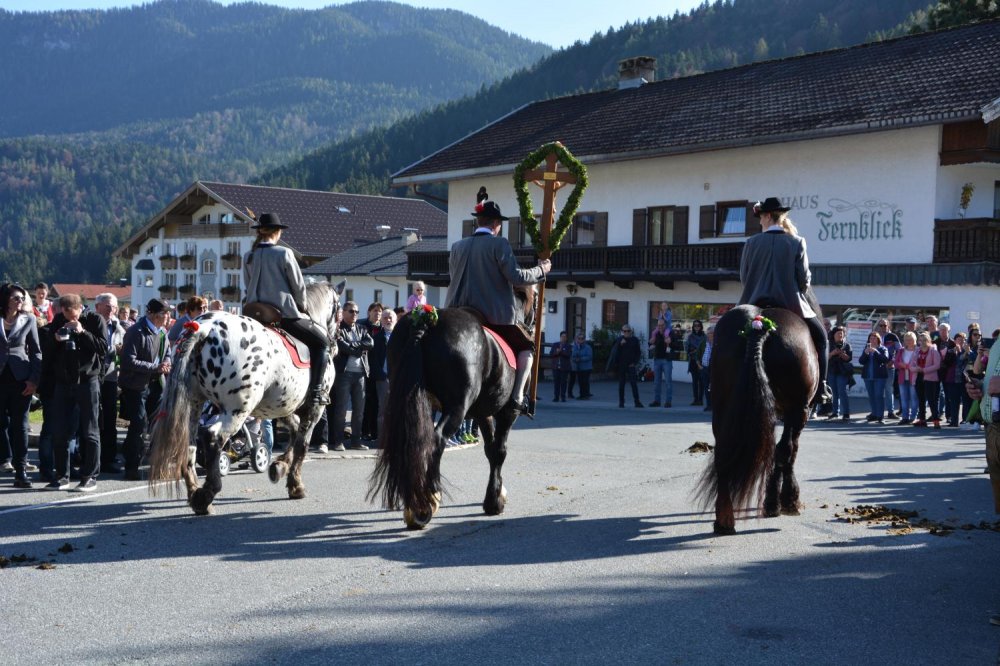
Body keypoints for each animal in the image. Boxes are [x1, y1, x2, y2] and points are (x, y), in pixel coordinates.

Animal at [148, 280, 343, 515]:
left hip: (194, 403)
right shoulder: (313, 409)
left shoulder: (280, 406)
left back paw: (195, 492)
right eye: (339, 309)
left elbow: (295, 431)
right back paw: (207, 494)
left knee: (189, 444)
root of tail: (206, 327)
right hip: (236, 409)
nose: (336, 345)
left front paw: (279, 467)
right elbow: (302, 444)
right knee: (213, 437)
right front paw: (295, 485)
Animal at [368, 306, 522, 529]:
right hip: (457, 408)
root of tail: (426, 317)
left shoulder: (482, 414)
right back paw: (426, 502)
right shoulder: (507, 412)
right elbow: (499, 451)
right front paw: (495, 500)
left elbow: (491, 450)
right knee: (436, 441)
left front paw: (495, 496)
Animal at [698, 304, 819, 535]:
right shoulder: (798, 412)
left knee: (722, 453)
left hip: (722, 407)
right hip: (797, 410)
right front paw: (785, 501)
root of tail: (759, 325)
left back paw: (724, 520)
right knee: (785, 450)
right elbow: (788, 451)